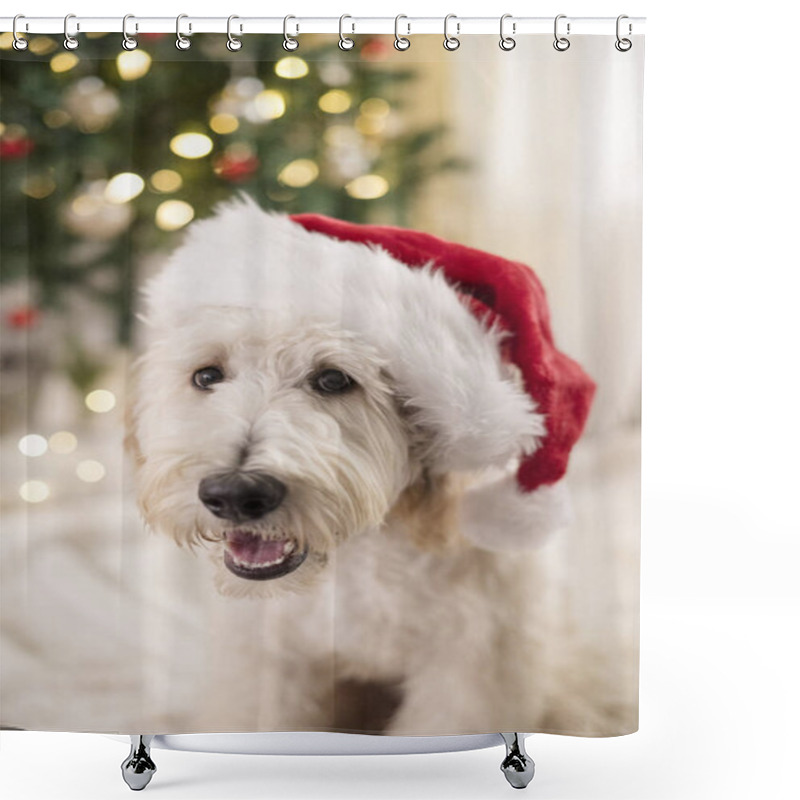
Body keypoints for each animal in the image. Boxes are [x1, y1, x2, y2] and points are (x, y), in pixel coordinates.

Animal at [126, 195, 624, 736]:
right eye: (207, 375)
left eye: (333, 380)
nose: (234, 493)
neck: (358, 555)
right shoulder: (266, 659)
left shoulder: (472, 668)